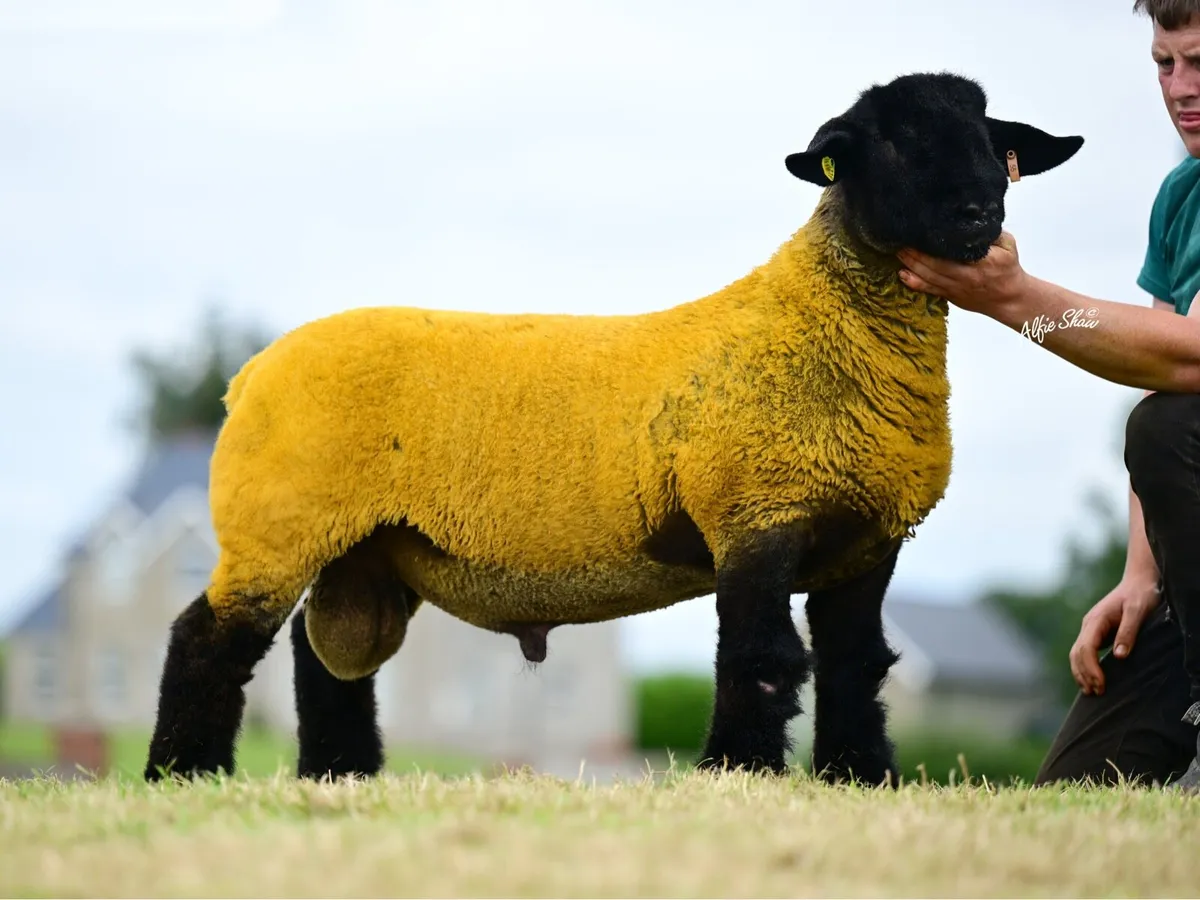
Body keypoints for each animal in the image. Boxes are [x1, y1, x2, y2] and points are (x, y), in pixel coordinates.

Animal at [144, 71, 1083, 786]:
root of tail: (250, 373)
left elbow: (857, 664)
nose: (977, 213)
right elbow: (762, 656)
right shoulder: (754, 515)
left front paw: (861, 778)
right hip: (275, 525)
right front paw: (736, 772)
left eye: (991, 142)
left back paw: (339, 775)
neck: (822, 320)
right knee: (206, 641)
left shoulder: (867, 540)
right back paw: (182, 775)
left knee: (322, 657)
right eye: (889, 142)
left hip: (362, 548)